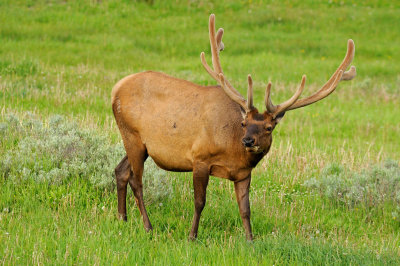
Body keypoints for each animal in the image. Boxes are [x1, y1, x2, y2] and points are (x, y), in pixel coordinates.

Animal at [111, 14, 356, 241]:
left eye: (269, 127)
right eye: (244, 123)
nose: (248, 140)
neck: (232, 151)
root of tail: (115, 89)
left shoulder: (243, 173)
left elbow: (245, 209)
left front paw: (250, 240)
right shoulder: (199, 158)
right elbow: (199, 202)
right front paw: (192, 236)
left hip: (139, 143)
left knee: (120, 170)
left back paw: (122, 218)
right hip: (132, 135)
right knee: (136, 181)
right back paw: (148, 226)